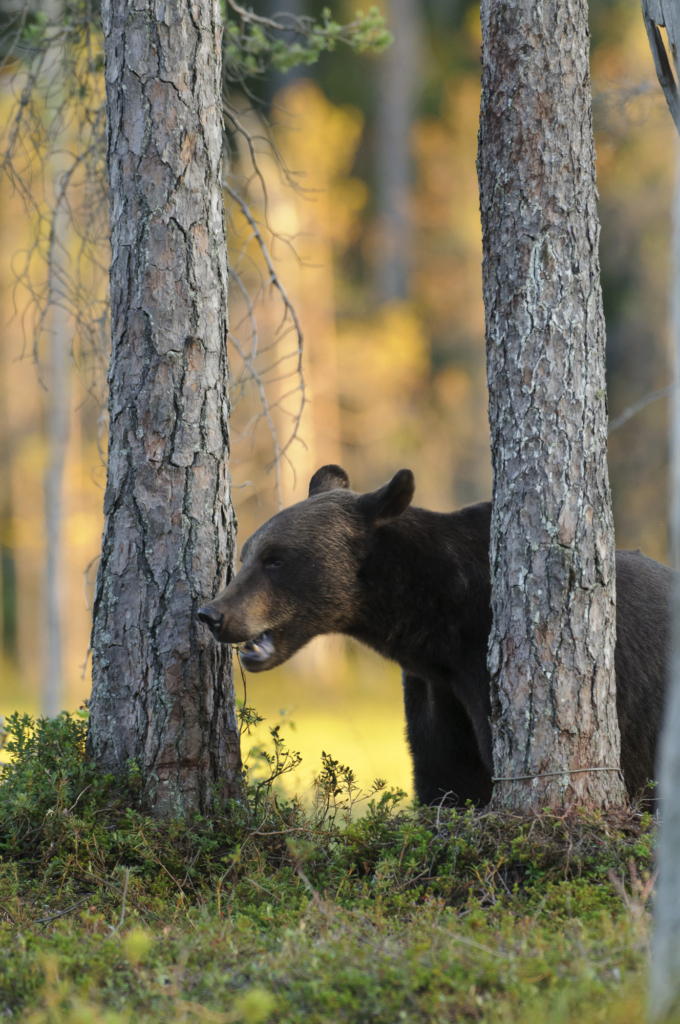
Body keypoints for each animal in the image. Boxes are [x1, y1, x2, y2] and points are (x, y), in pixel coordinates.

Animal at [199, 464, 671, 806]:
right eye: (246, 553)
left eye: (275, 559)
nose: (213, 613)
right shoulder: (436, 690)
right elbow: (444, 773)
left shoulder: (483, 664)